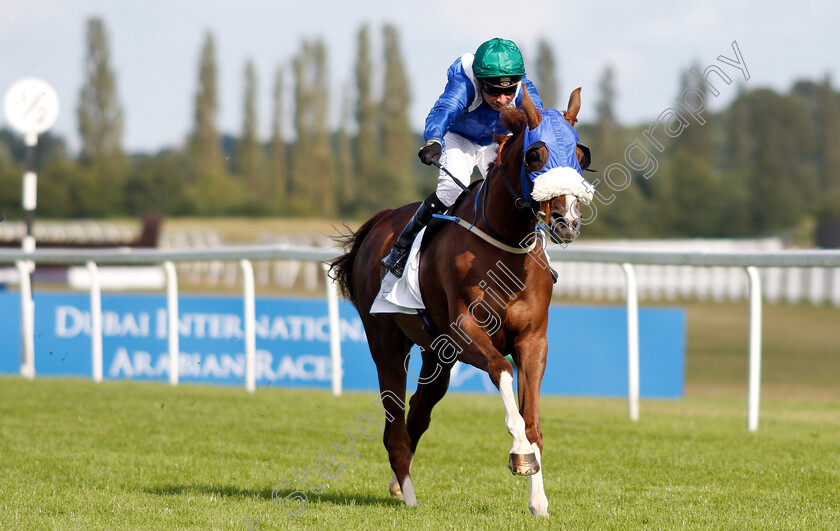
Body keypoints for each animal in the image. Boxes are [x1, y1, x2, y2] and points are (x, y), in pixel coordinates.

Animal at [328, 87, 592, 516]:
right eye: (535, 155)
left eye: (580, 155)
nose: (566, 220)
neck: (505, 243)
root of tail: (380, 222)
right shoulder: (466, 331)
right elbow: (502, 372)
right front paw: (520, 455)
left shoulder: (533, 340)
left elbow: (532, 419)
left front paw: (539, 500)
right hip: (386, 342)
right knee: (394, 424)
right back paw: (408, 493)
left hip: (438, 354)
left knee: (419, 411)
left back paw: (398, 483)